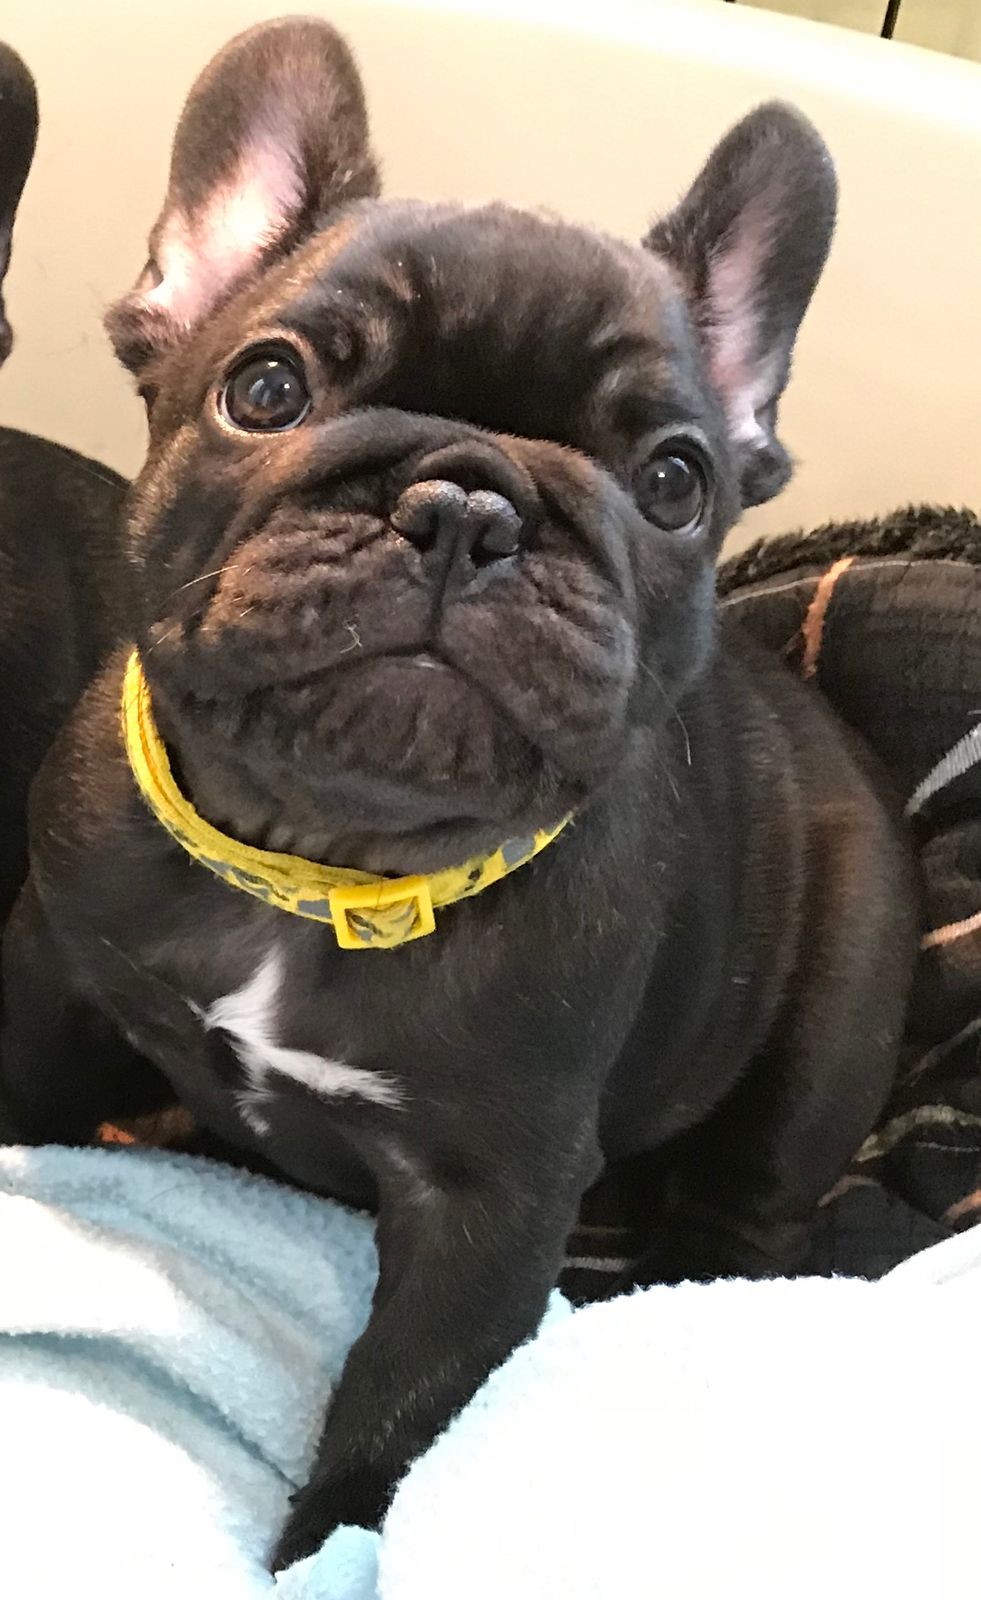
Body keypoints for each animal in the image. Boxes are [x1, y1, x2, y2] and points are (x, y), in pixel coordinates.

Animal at [0, 17, 919, 1568]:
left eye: (675, 481)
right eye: (266, 390)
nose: (468, 505)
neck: (324, 858)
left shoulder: (489, 1206)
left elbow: (397, 1416)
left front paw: (327, 1555)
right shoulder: (56, 982)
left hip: (824, 1033)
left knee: (751, 1222)